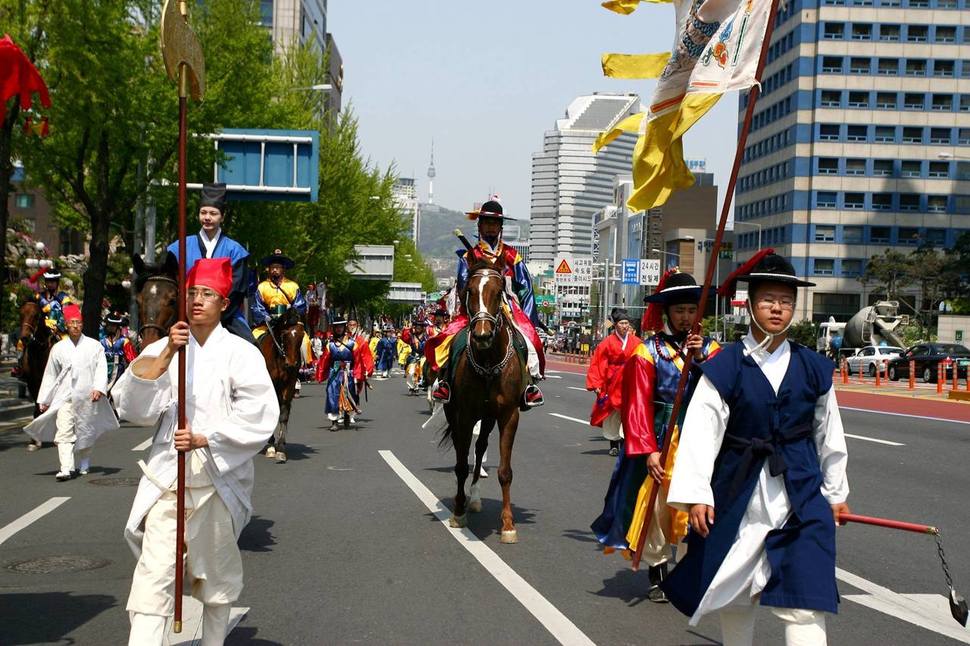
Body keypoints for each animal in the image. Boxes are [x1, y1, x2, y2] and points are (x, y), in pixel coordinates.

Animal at [260, 310, 304, 466]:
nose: (291, 364)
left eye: (301, 335)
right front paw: (271, 446)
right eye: (284, 334)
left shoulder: (289, 383)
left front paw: (280, 449)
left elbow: (283, 412)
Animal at [442, 256, 524, 544]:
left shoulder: (509, 414)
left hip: (488, 418)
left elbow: (505, 472)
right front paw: (458, 512)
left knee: (479, 450)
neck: (488, 363)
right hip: (454, 412)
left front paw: (508, 524)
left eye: (499, 293)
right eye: (469, 291)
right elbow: (459, 465)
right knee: (463, 450)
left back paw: (475, 497)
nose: (482, 335)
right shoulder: (465, 414)